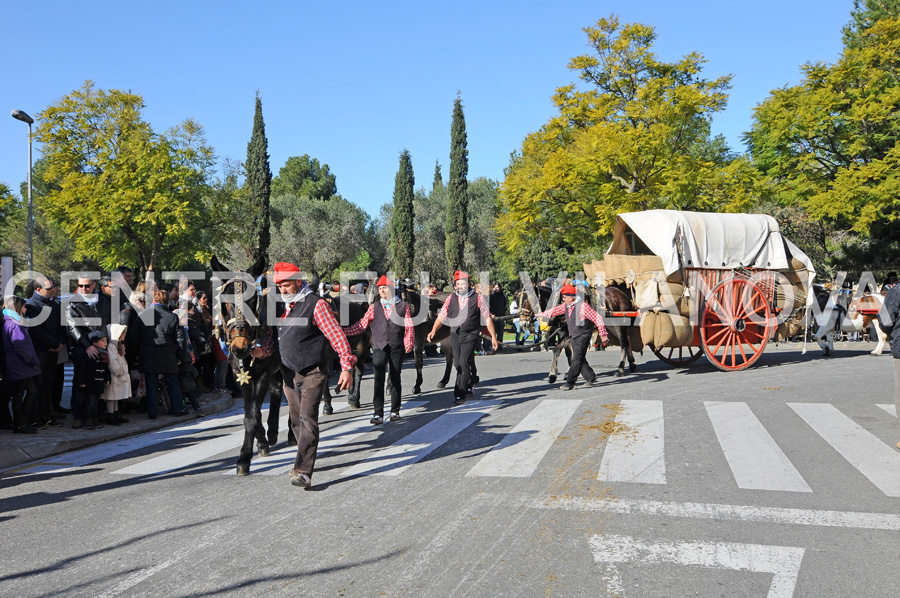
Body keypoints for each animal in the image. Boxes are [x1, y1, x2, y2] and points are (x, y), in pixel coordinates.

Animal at [209, 255, 284, 476]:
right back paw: (271, 433)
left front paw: (243, 458)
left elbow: (252, 414)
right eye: (225, 304)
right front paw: (261, 442)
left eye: (252, 301)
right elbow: (251, 412)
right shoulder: (240, 375)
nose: (239, 347)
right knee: (277, 391)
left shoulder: (263, 373)